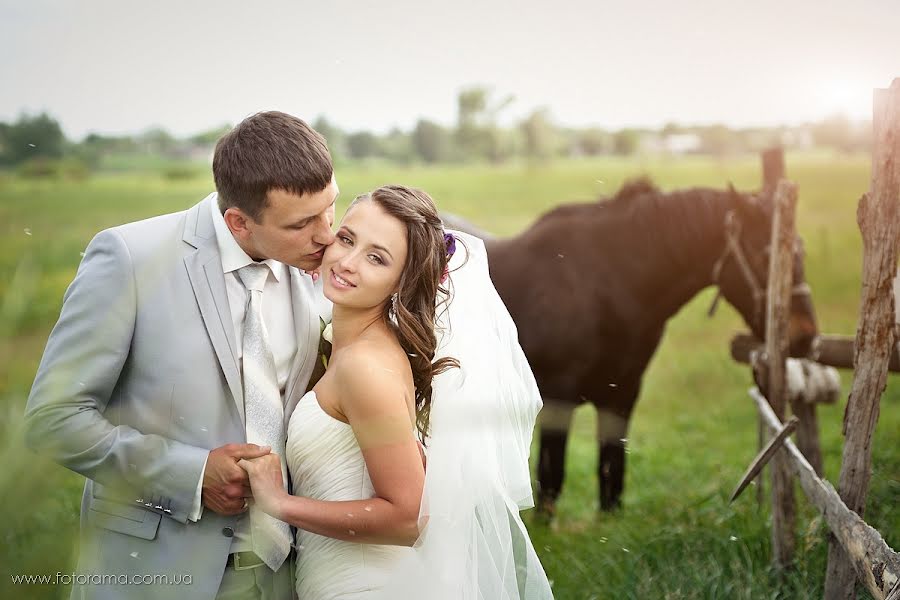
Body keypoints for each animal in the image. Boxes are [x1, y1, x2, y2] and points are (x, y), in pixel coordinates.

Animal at [446, 180, 820, 512]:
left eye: (801, 251)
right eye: (766, 254)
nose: (805, 337)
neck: (605, 283)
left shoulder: (622, 396)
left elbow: (611, 475)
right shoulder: (558, 399)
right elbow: (551, 478)